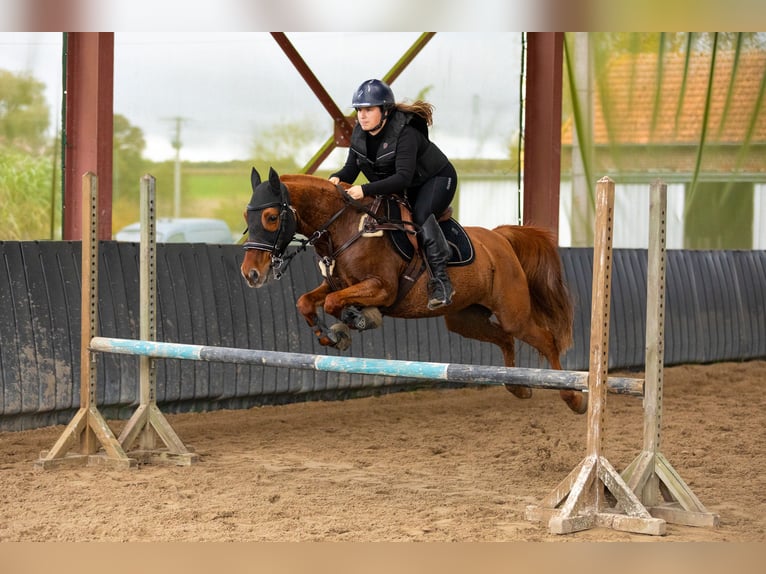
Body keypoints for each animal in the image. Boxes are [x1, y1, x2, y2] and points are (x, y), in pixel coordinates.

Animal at [242, 166, 588, 414]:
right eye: (248, 216)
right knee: (504, 339)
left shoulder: (382, 289)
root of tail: (500, 238)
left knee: (545, 340)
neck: (346, 228)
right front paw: (331, 335)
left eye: (271, 217)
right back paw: (518, 387)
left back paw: (572, 398)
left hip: (513, 312)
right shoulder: (334, 283)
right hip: (464, 319)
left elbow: (332, 303)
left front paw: (357, 321)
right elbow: (307, 301)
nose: (250, 274)